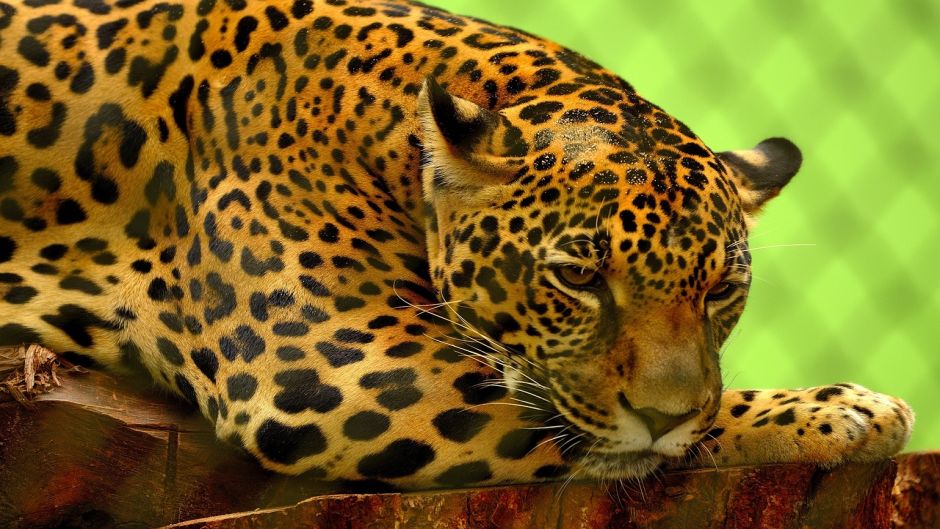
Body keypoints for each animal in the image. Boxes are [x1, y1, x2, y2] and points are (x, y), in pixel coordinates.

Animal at [0, 0, 913, 490]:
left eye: (720, 289)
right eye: (579, 275)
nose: (663, 413)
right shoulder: (334, 369)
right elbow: (608, 436)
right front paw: (837, 409)